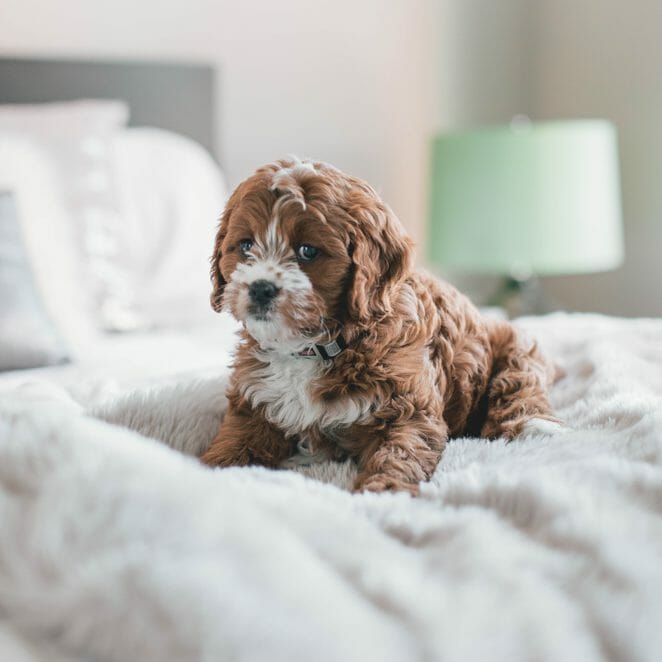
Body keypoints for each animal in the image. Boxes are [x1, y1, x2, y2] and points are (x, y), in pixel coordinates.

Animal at [201, 158, 560, 496]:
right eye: (246, 245)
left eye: (308, 251)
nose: (260, 288)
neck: (315, 346)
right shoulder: (254, 404)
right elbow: (235, 443)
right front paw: (205, 470)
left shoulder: (408, 407)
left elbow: (400, 452)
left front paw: (384, 492)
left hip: (515, 346)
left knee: (520, 384)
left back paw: (537, 427)